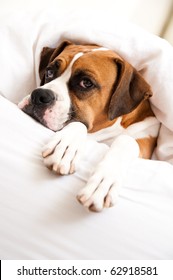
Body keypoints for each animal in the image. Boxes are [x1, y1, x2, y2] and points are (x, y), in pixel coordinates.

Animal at [18, 40, 160, 212]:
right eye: (50, 71)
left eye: (86, 83)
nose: (39, 95)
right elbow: (78, 124)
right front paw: (66, 147)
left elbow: (127, 141)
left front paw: (104, 181)